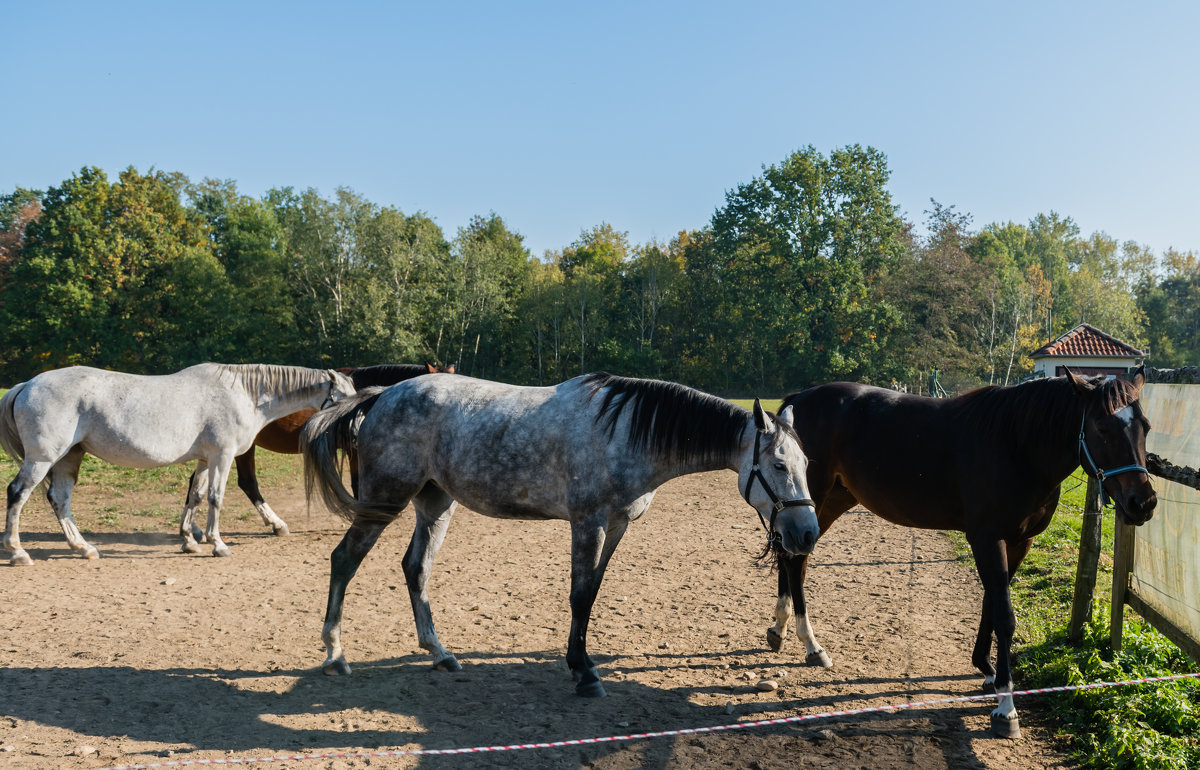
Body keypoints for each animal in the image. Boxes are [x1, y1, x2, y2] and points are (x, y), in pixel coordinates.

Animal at [1, 362, 355, 561]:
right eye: (346, 398)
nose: (354, 428)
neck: (243, 394)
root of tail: (27, 385)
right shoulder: (222, 455)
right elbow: (215, 498)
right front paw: (217, 544)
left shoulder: (205, 458)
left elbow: (195, 496)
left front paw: (189, 541)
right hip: (43, 458)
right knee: (17, 493)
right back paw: (17, 551)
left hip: (68, 457)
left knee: (59, 499)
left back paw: (83, 548)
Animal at [302, 369, 825, 695]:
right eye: (779, 465)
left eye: (806, 463)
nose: (806, 534)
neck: (626, 431)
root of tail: (383, 395)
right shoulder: (587, 523)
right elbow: (578, 595)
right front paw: (583, 672)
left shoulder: (616, 526)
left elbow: (591, 593)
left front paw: (581, 663)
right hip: (384, 500)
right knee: (344, 560)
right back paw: (335, 653)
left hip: (435, 503)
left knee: (416, 568)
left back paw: (440, 653)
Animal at [763, 367, 1156, 738]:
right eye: (1101, 427)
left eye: (1147, 427)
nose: (1143, 503)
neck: (1017, 444)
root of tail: (800, 399)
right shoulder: (987, 539)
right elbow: (1005, 616)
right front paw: (1006, 708)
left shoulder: (1019, 541)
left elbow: (991, 604)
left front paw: (987, 670)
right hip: (812, 498)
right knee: (794, 560)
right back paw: (810, 644)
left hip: (832, 500)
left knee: (794, 559)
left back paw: (782, 630)